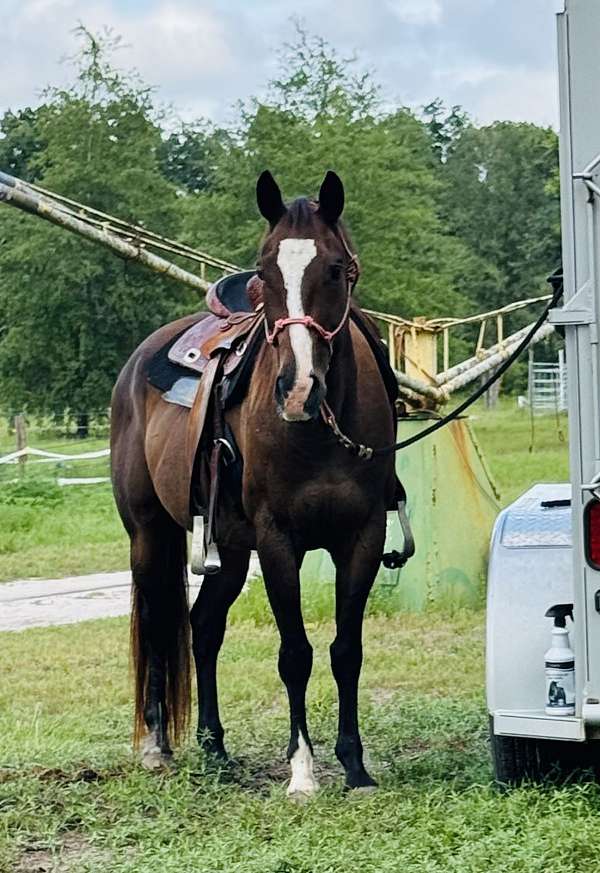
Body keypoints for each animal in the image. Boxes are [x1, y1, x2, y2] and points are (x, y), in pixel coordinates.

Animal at [110, 172, 400, 796]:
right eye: (264, 272)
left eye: (336, 269)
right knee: (158, 621)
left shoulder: (362, 538)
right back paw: (157, 747)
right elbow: (295, 654)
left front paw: (355, 765)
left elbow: (347, 650)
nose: (297, 388)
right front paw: (302, 772)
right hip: (150, 535)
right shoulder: (278, 541)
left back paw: (214, 747)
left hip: (232, 550)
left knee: (203, 627)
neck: (320, 427)